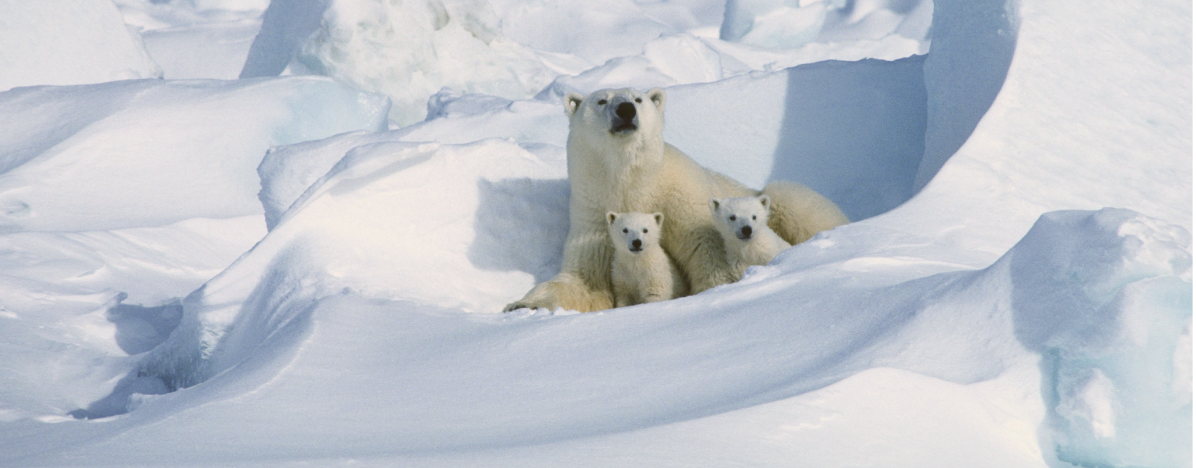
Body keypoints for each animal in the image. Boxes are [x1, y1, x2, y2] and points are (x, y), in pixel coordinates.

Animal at [503, 87, 849, 313]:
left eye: (638, 98)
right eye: (601, 100)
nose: (626, 110)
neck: (632, 185)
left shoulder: (682, 200)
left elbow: (706, 250)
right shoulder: (594, 218)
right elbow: (584, 280)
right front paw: (522, 304)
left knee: (790, 199)